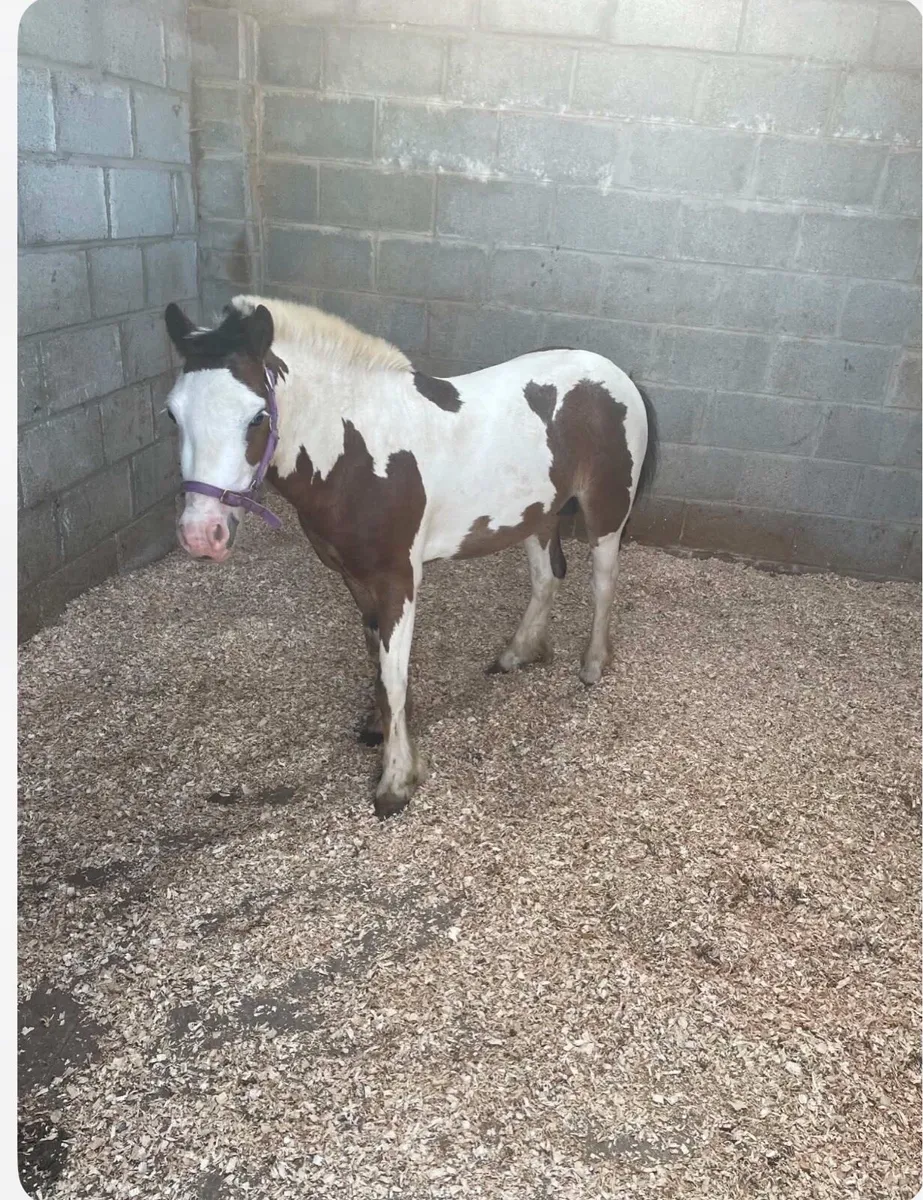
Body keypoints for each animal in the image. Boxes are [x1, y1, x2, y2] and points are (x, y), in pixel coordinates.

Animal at [162, 294, 658, 819]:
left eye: (257, 415)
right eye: (172, 414)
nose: (201, 534)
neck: (358, 453)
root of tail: (615, 375)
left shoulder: (397, 579)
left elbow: (393, 675)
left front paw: (396, 780)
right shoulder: (355, 578)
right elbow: (378, 667)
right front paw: (379, 730)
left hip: (606, 514)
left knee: (602, 583)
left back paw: (593, 665)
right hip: (536, 515)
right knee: (547, 577)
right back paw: (517, 654)